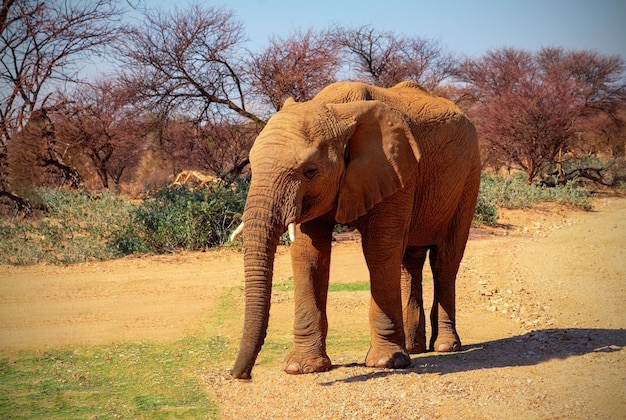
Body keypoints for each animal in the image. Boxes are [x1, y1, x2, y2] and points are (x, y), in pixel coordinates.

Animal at [229, 80, 478, 378]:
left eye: (310, 171)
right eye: (252, 165)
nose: (240, 375)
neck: (338, 111)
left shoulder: (395, 169)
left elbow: (379, 249)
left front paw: (386, 362)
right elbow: (309, 253)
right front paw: (301, 367)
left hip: (469, 178)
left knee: (445, 260)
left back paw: (445, 347)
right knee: (410, 262)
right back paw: (414, 347)